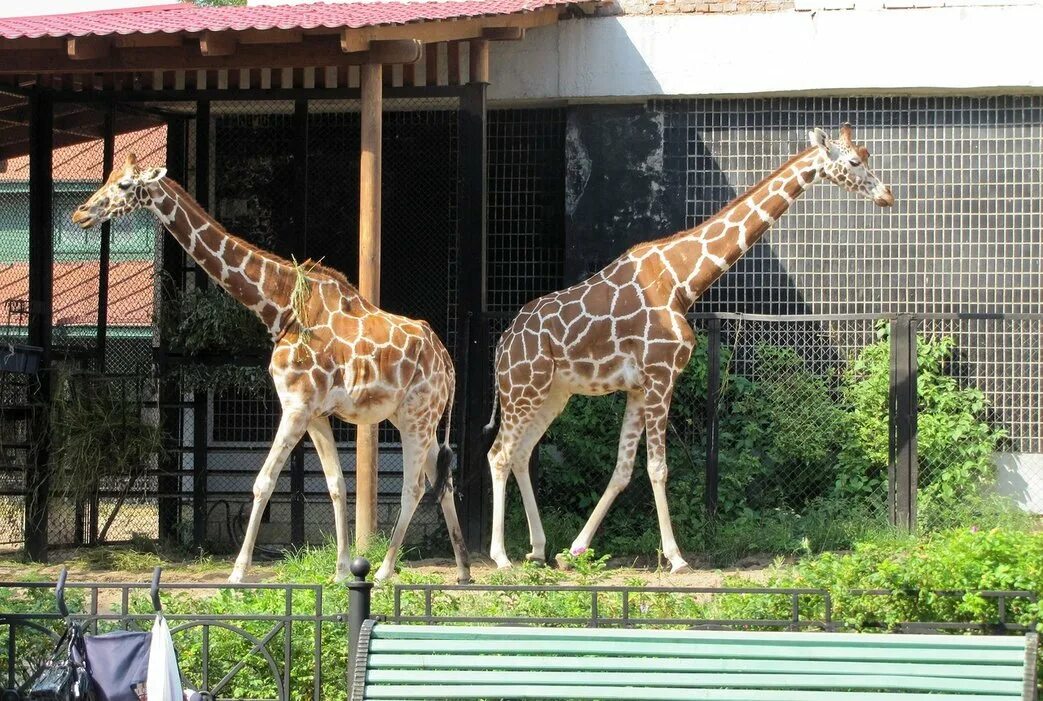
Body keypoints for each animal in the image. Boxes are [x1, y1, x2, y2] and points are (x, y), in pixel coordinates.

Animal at [69, 154, 469, 584]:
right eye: (108, 178)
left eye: (125, 185)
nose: (80, 213)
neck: (280, 307)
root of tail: (448, 363)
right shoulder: (315, 413)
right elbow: (336, 485)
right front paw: (340, 571)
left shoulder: (295, 406)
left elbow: (263, 482)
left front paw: (238, 572)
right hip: (414, 417)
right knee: (441, 480)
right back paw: (463, 570)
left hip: (417, 414)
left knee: (415, 486)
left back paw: (383, 570)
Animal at [483, 123, 892, 571]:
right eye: (853, 161)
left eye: (868, 155)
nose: (887, 195)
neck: (683, 281)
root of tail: (502, 343)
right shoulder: (662, 376)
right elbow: (657, 468)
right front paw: (676, 557)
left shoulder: (639, 387)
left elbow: (623, 470)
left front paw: (575, 548)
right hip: (523, 388)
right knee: (499, 454)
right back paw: (500, 556)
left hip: (553, 392)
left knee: (521, 453)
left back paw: (538, 548)